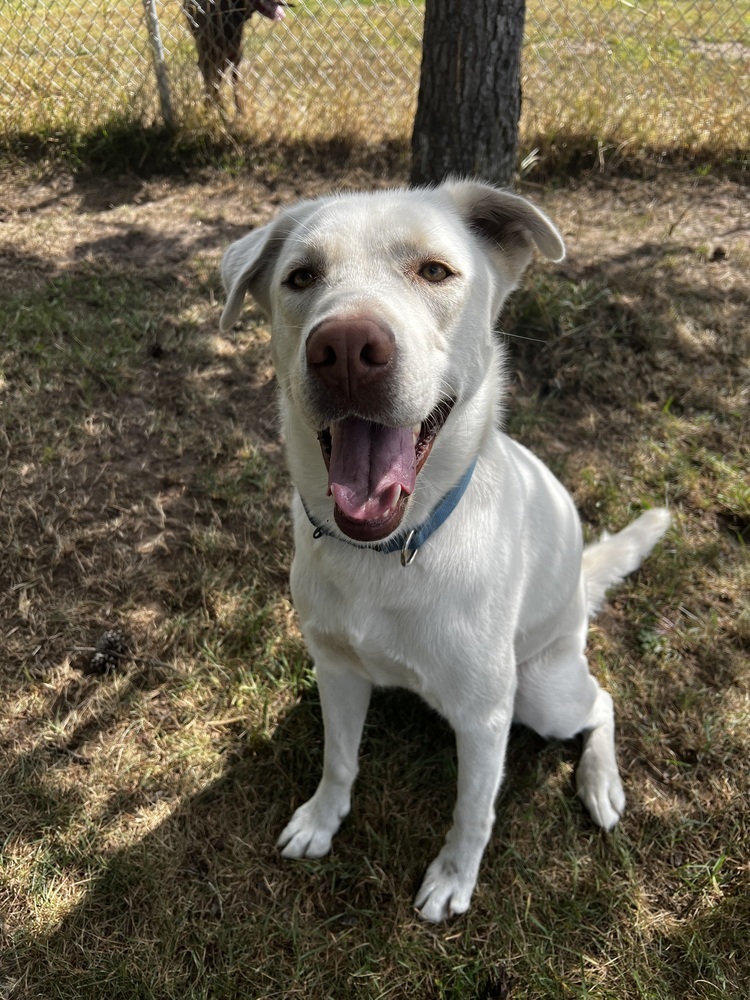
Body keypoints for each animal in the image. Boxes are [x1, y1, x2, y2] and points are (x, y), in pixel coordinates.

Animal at [220, 180, 672, 920]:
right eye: (301, 278)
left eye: (434, 271)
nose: (346, 347)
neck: (387, 553)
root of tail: (580, 590)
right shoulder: (336, 670)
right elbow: (339, 759)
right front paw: (322, 819)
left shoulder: (486, 719)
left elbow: (472, 812)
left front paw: (455, 878)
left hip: (541, 693)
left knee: (602, 701)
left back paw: (600, 782)